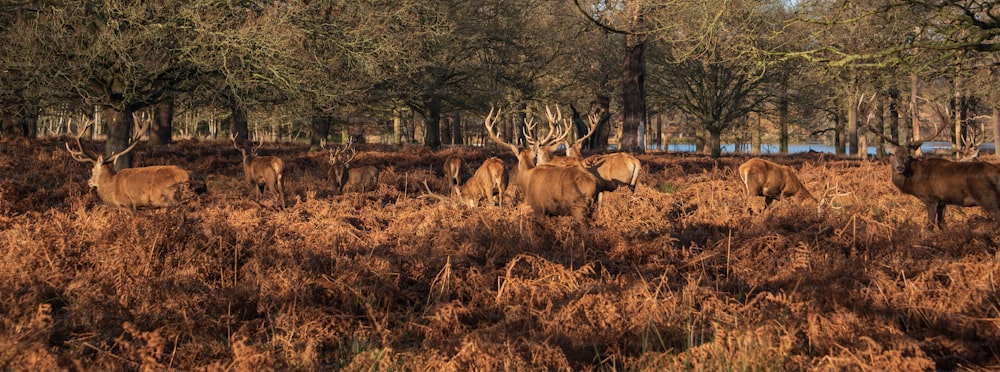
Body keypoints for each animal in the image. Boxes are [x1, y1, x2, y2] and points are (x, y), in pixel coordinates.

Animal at [65, 115, 207, 211]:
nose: (89, 182)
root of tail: (193, 179)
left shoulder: (129, 204)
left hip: (169, 198)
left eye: (93, 170)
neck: (111, 187)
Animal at [868, 123, 1000, 228]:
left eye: (908, 156)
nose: (900, 168)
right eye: (892, 154)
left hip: (988, 198)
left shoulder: (931, 199)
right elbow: (941, 225)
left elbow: (930, 226)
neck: (914, 180)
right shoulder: (943, 202)